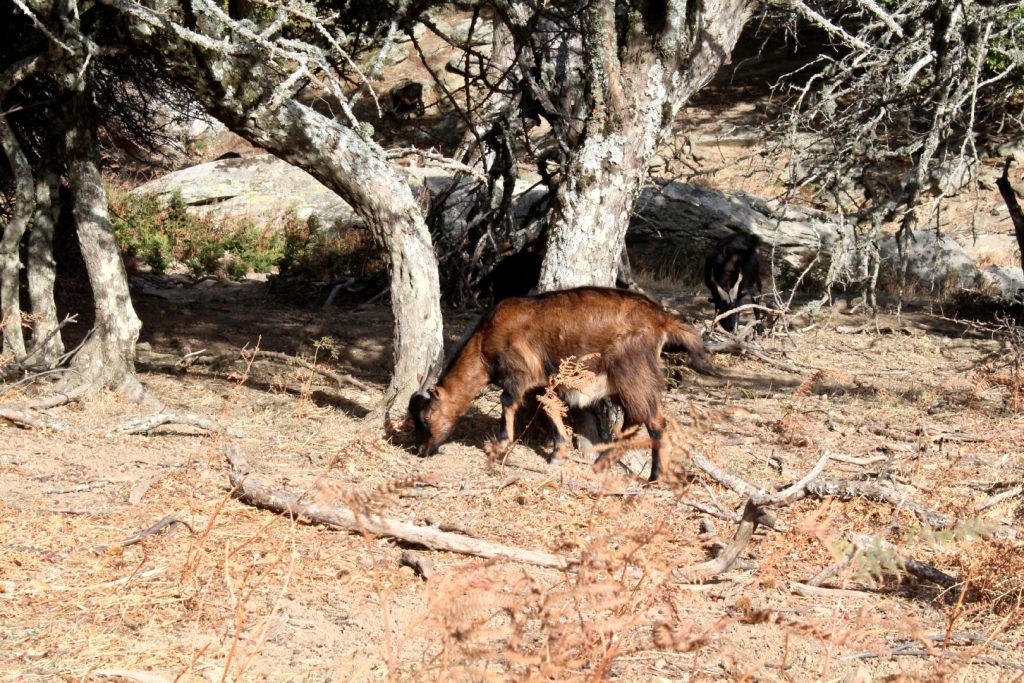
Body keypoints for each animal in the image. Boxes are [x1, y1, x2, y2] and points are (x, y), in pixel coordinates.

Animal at [405, 286, 712, 483]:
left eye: (426, 416)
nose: (421, 450)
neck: (484, 342)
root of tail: (662, 319)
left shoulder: (521, 371)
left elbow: (508, 402)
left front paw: (499, 445)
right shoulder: (543, 381)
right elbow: (550, 407)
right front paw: (558, 453)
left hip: (632, 372)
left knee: (653, 420)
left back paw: (651, 475)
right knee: (636, 420)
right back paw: (608, 462)